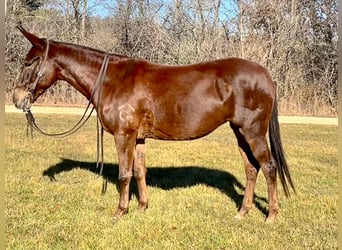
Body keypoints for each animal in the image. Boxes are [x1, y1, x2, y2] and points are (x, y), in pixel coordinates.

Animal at [11, 24, 294, 222]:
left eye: (30, 62)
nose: (17, 98)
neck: (112, 79)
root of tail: (266, 76)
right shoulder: (138, 137)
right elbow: (139, 171)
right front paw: (142, 206)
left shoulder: (123, 135)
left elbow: (124, 174)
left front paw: (120, 211)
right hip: (239, 132)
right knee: (251, 169)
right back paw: (242, 212)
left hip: (253, 132)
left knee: (268, 167)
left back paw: (271, 215)